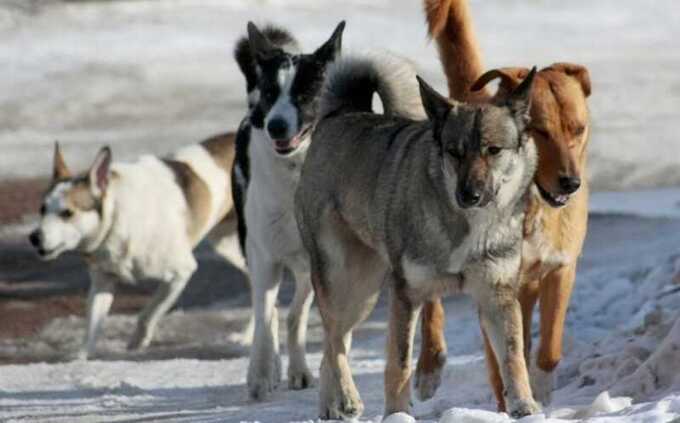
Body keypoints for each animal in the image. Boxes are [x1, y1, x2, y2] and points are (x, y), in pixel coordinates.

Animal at [231, 22, 346, 400]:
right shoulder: (263, 257)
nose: (276, 125)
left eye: (306, 93)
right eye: (271, 92)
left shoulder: (321, 263)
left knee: (296, 313)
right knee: (266, 314)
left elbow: (297, 317)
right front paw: (260, 374)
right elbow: (265, 317)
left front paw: (306, 372)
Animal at [294, 56, 540, 420]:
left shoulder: (497, 295)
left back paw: (331, 407)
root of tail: (340, 114)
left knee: (330, 344)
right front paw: (397, 415)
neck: (466, 227)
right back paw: (348, 398)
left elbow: (512, 357)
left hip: (364, 294)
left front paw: (525, 407)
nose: (469, 195)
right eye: (454, 152)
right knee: (334, 338)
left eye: (493, 150)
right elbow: (399, 363)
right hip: (343, 282)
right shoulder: (406, 294)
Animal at [414, 0, 588, 410]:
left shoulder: (560, 269)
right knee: (430, 302)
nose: (571, 183)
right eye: (540, 130)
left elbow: (548, 347)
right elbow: (501, 359)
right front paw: (509, 403)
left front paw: (540, 390)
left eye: (578, 129)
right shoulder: (493, 283)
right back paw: (429, 365)